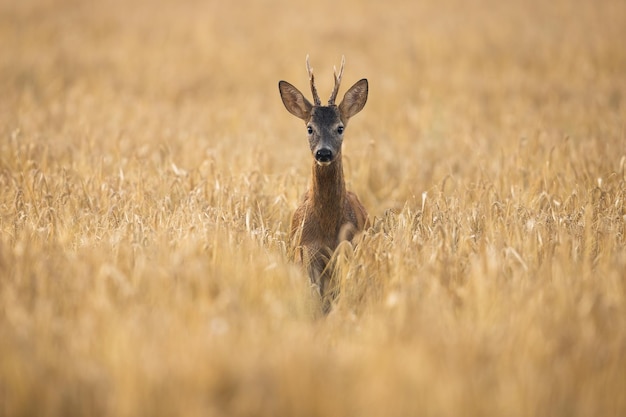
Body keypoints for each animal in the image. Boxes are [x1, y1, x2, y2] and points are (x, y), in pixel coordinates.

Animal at [276, 56, 368, 312]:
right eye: (310, 128)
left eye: (340, 128)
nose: (324, 152)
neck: (327, 229)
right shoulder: (308, 252)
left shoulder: (347, 249)